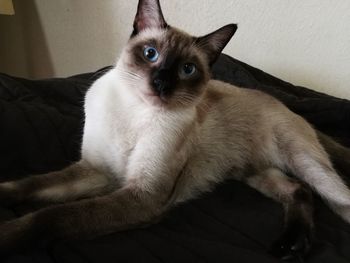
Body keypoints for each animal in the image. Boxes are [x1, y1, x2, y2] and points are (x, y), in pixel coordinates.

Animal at [0, 0, 350, 260]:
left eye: (187, 69)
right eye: (150, 54)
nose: (160, 84)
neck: (134, 111)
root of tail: (286, 106)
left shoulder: (142, 195)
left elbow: (51, 216)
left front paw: (7, 234)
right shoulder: (98, 171)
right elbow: (31, 185)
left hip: (305, 164)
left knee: (332, 197)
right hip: (252, 172)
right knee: (298, 190)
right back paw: (291, 245)